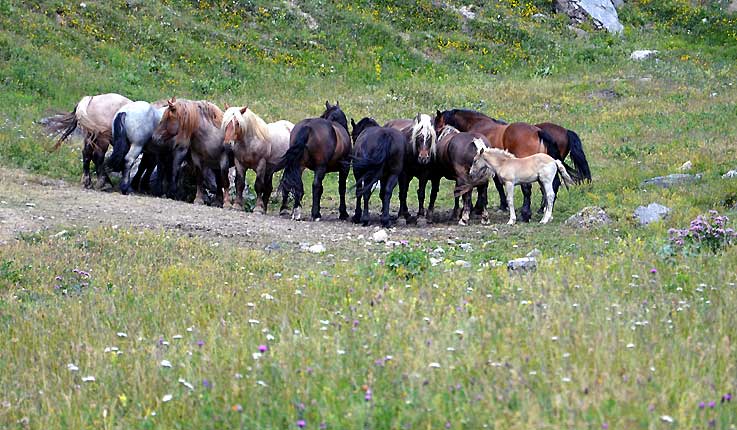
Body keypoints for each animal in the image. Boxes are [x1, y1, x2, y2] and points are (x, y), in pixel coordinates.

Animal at [432, 107, 564, 222]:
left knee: (528, 188)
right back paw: (545, 211)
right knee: (553, 185)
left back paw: (526, 214)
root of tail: (538, 131)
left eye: (437, 128)